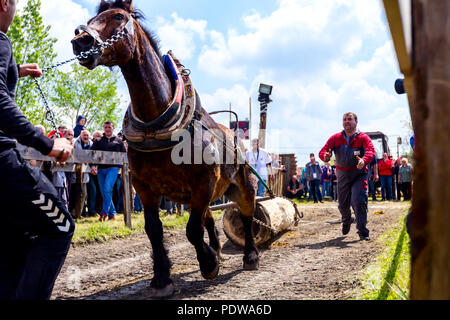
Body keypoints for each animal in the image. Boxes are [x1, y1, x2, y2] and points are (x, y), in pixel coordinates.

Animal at [72, 0, 258, 298]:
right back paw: (216, 249)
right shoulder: (144, 187)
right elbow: (154, 230)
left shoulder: (203, 182)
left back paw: (250, 255)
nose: (81, 41)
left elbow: (192, 230)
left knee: (247, 214)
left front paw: (208, 264)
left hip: (242, 185)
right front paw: (162, 278)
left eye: (118, 16)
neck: (157, 122)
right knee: (209, 218)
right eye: (90, 20)